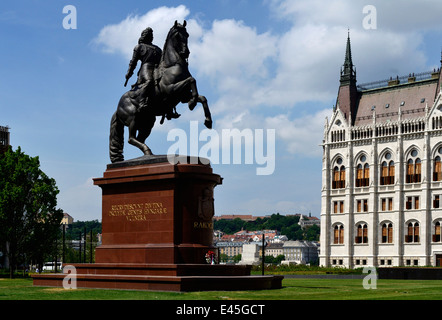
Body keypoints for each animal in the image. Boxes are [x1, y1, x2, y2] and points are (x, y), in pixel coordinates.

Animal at [109, 20, 212, 162]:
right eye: (177, 36)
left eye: (187, 35)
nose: (186, 52)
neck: (172, 65)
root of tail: (118, 107)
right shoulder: (171, 90)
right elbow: (191, 80)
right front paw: (192, 104)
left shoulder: (183, 96)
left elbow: (202, 97)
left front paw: (207, 120)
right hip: (133, 119)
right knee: (131, 138)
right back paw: (147, 151)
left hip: (148, 122)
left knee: (139, 138)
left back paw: (149, 154)